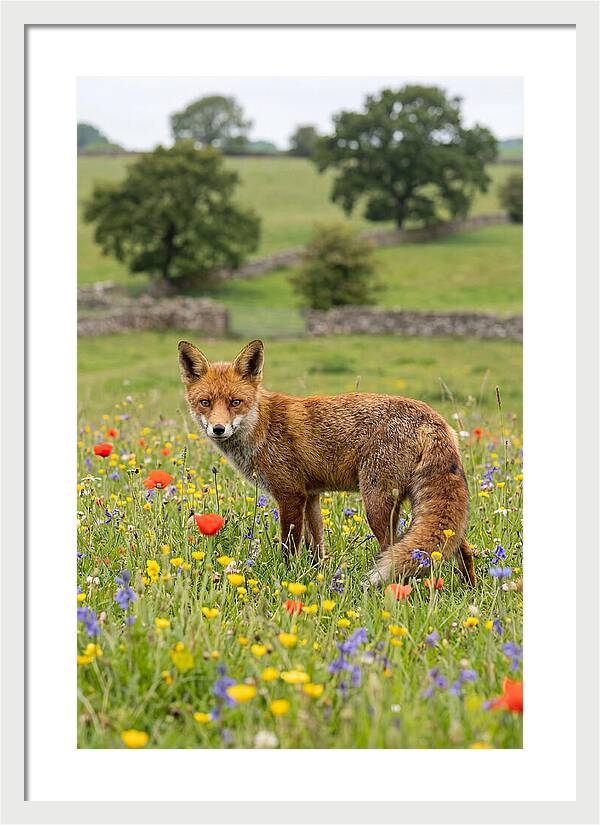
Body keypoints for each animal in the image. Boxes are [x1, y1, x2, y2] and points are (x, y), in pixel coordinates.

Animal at [178, 338, 475, 586]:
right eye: (205, 402)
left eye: (235, 402)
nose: (218, 429)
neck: (262, 426)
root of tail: (432, 417)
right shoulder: (311, 496)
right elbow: (316, 547)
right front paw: (316, 577)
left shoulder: (290, 495)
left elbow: (289, 546)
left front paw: (287, 577)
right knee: (461, 547)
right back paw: (468, 588)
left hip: (377, 503)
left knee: (392, 549)